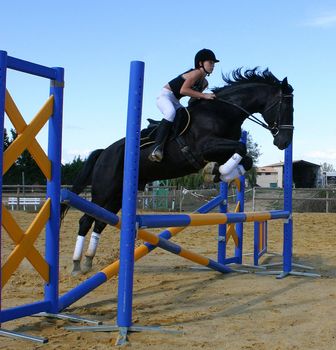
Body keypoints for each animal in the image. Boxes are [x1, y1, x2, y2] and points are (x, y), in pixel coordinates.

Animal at [61, 68, 292, 274]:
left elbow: (246, 158)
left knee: (100, 222)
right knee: (85, 220)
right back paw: (76, 265)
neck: (222, 112)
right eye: (286, 107)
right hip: (104, 191)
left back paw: (88, 261)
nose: (284, 142)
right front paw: (215, 172)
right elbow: (242, 150)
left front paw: (220, 173)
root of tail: (104, 153)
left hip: (117, 196)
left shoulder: (221, 149)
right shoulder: (206, 146)